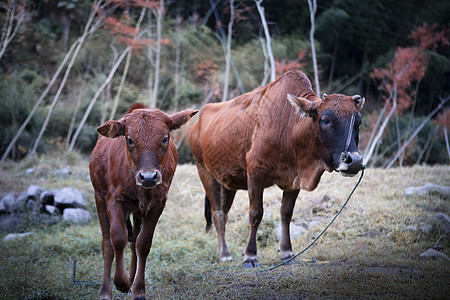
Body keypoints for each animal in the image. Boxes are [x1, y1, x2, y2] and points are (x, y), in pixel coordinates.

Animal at [89, 102, 197, 298]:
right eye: (129, 140)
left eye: (165, 139)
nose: (148, 177)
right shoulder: (113, 199)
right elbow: (118, 238)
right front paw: (121, 282)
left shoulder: (158, 203)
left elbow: (143, 243)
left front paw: (138, 289)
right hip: (98, 197)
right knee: (107, 244)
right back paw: (106, 291)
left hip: (138, 212)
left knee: (133, 244)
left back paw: (131, 278)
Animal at [188, 70, 364, 268]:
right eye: (325, 120)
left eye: (358, 123)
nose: (354, 160)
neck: (289, 127)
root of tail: (196, 124)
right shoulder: (255, 173)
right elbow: (256, 213)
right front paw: (250, 256)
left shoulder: (294, 179)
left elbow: (286, 213)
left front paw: (287, 252)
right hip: (204, 172)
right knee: (217, 213)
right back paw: (225, 254)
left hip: (227, 182)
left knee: (224, 214)